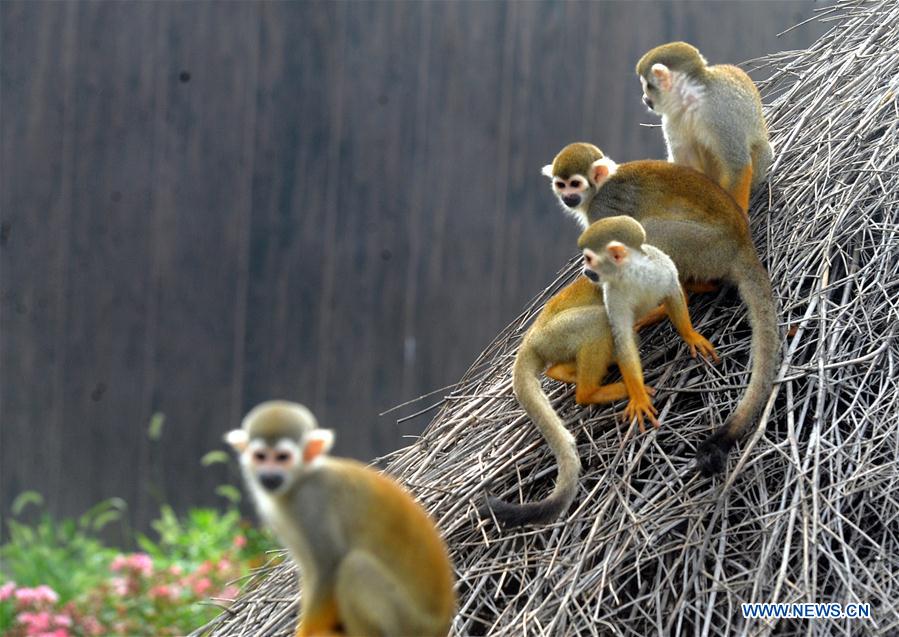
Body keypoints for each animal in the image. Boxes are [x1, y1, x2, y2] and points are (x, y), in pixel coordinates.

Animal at [225, 400, 458, 636]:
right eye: (260, 456)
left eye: (282, 457)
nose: (269, 475)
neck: (298, 482)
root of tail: (440, 624)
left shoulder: (312, 503)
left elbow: (329, 565)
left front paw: (309, 631)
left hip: (408, 622)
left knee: (355, 567)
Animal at [482, 215, 720, 528]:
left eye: (590, 260)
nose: (585, 271)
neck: (632, 276)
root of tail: (530, 338)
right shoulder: (614, 297)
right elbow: (620, 338)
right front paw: (638, 396)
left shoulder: (662, 267)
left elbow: (674, 294)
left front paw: (690, 334)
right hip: (554, 334)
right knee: (598, 322)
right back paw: (588, 391)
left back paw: (563, 372)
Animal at [540, 142, 780, 474]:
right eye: (561, 185)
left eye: (575, 184)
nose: (568, 197)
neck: (598, 189)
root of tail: (743, 242)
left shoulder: (603, 210)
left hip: (706, 246)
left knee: (648, 231)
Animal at [632, 43, 772, 216]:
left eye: (647, 86)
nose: (645, 98)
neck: (692, 101)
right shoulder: (672, 117)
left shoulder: (719, 112)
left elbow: (736, 165)